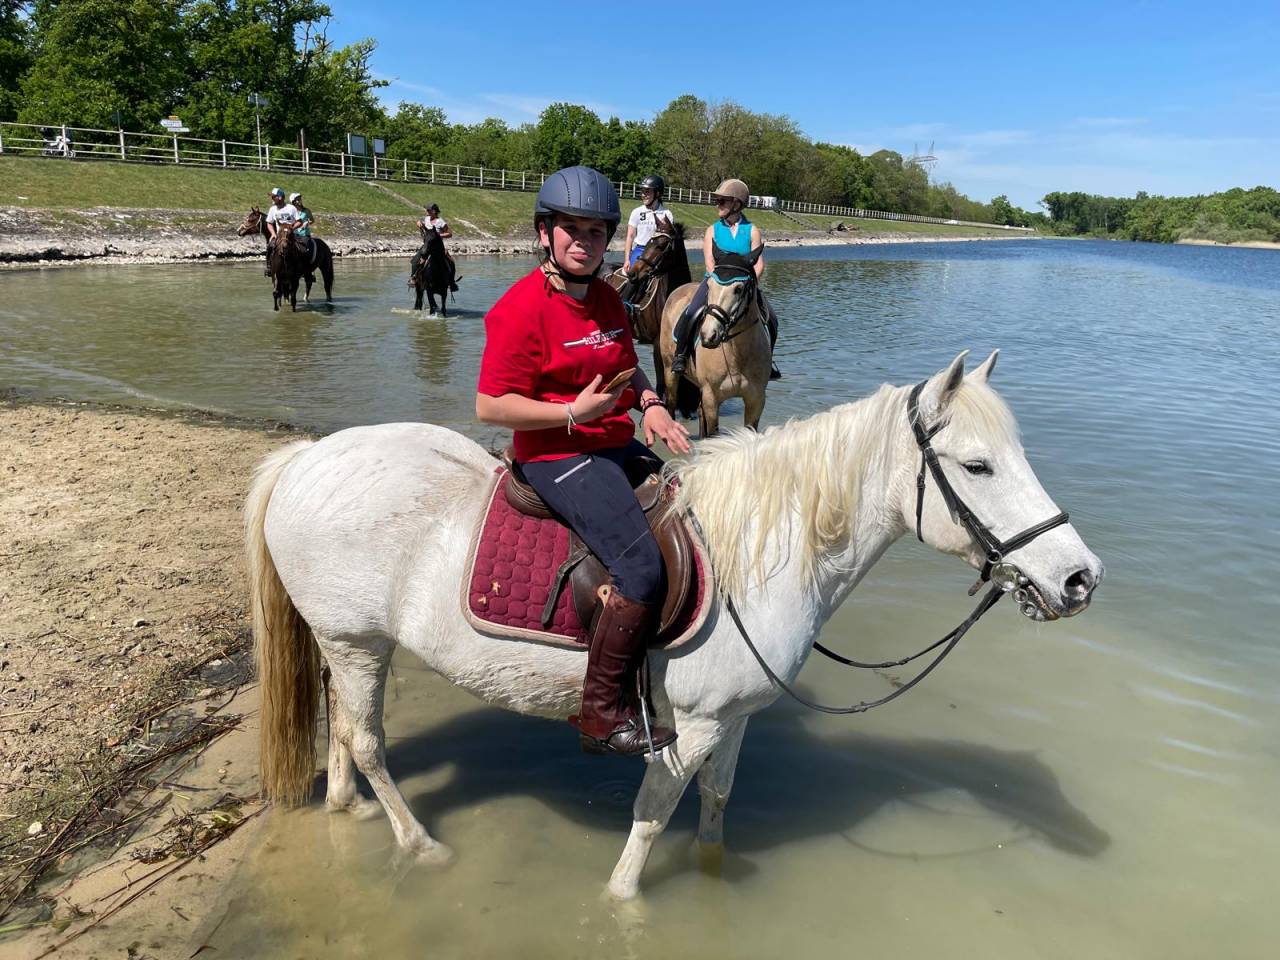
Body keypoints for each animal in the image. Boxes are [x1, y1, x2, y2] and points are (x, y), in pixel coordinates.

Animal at [245, 350, 1103, 900]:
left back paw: (349, 807)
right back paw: (420, 845)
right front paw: (624, 903)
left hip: (353, 645)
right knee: (366, 739)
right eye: (977, 467)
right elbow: (651, 823)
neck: (762, 548)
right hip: (356, 640)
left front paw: (712, 875)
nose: (1079, 577)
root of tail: (305, 459)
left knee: (344, 729)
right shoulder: (689, 726)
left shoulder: (737, 717)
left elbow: (718, 803)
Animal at [658, 247, 772, 437]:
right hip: (670, 370)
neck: (737, 354)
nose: (708, 335)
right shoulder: (711, 398)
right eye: (710, 286)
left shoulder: (756, 401)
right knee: (671, 405)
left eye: (739, 289)